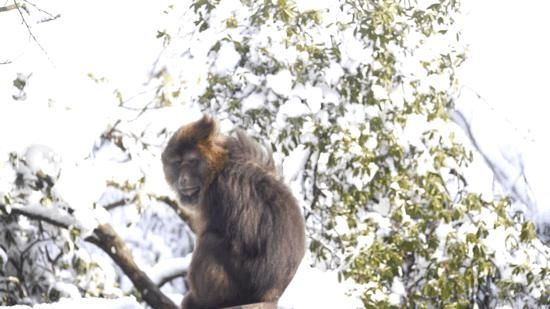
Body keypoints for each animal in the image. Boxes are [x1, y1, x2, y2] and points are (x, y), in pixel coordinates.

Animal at [161, 114, 306, 306]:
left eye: (192, 161)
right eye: (177, 163)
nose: (183, 179)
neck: (218, 167)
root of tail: (271, 294)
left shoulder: (220, 192)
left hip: (242, 288)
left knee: (210, 241)